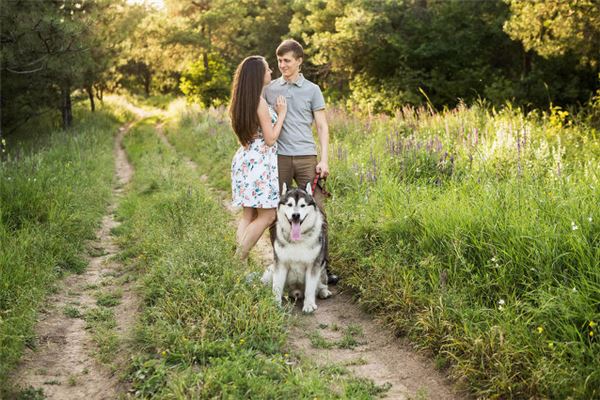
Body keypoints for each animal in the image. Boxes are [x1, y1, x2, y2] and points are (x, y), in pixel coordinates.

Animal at [260, 182, 330, 312]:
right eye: (290, 204)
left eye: (302, 205)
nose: (296, 215)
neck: (298, 240)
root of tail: (296, 292)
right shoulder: (280, 263)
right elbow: (277, 286)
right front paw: (275, 304)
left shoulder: (313, 265)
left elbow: (310, 288)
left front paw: (309, 305)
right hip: (270, 271)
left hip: (322, 269)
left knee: (321, 284)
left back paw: (324, 291)